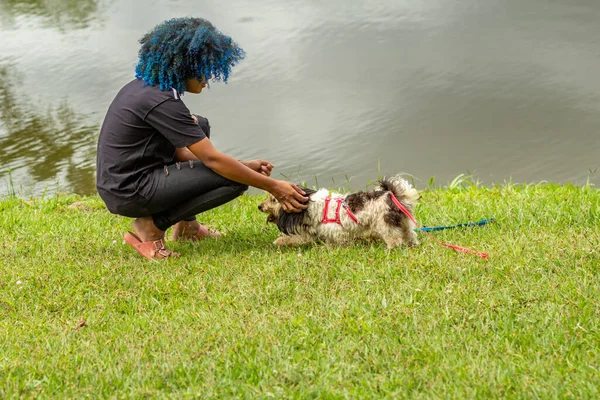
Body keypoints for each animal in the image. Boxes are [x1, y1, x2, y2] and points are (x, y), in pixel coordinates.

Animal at [258, 176, 422, 250]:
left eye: (273, 199)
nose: (259, 206)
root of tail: (392, 195)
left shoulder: (337, 231)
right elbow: (299, 238)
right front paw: (280, 241)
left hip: (385, 224)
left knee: (395, 239)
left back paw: (390, 248)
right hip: (405, 223)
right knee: (410, 235)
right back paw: (412, 245)